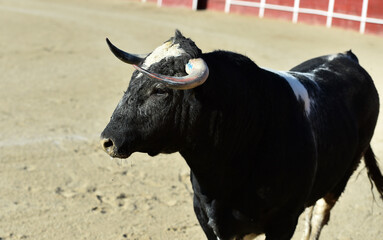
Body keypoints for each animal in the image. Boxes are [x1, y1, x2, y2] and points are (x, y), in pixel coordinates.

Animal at [100, 31, 383, 240]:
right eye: (131, 80)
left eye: (160, 90)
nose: (108, 140)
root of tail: (348, 57)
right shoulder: (209, 220)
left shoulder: (283, 223)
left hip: (341, 178)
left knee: (319, 217)